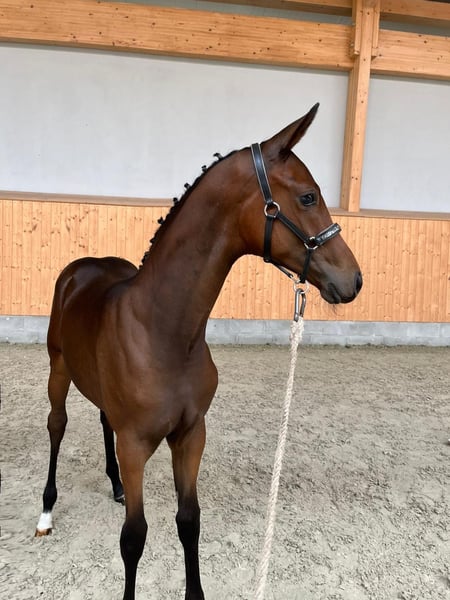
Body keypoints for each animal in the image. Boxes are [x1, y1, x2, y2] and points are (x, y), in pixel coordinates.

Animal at [35, 104, 362, 600]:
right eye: (308, 197)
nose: (354, 280)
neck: (166, 332)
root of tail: (81, 268)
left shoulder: (191, 435)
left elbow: (189, 521)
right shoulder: (136, 445)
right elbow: (134, 537)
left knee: (103, 419)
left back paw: (114, 485)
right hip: (59, 370)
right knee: (57, 426)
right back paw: (46, 511)